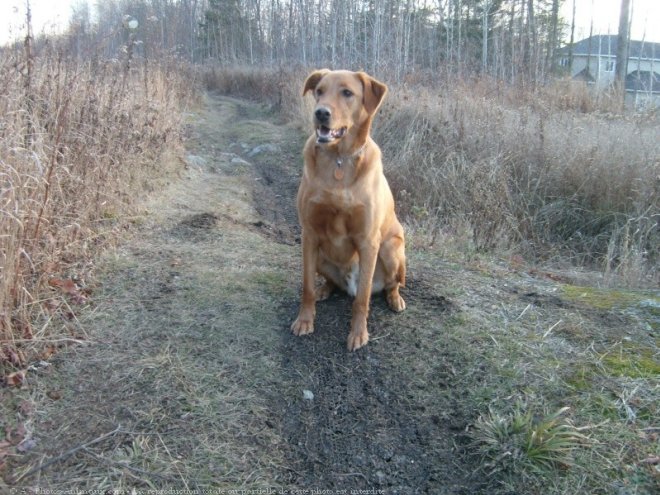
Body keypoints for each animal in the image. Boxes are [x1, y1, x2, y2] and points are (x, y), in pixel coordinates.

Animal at [292, 70, 404, 350]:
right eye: (319, 91)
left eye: (347, 93)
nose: (320, 113)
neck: (339, 159)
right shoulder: (309, 234)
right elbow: (306, 286)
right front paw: (305, 320)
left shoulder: (368, 241)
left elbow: (361, 300)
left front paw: (358, 333)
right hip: (320, 256)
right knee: (330, 281)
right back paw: (325, 289)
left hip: (391, 249)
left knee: (391, 283)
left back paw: (395, 298)